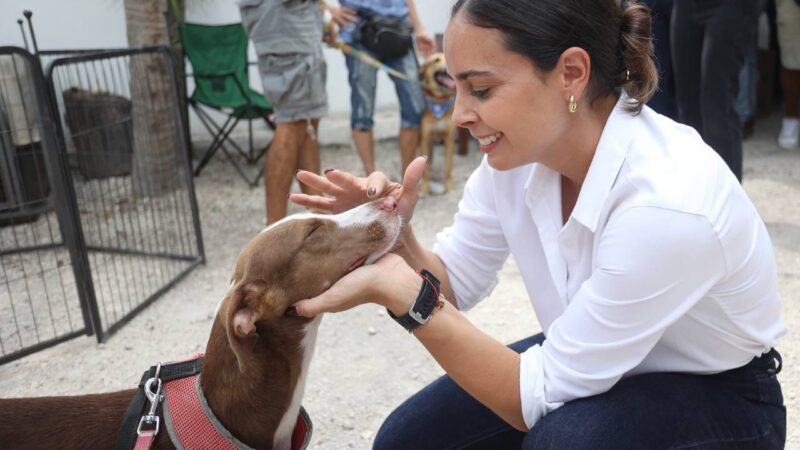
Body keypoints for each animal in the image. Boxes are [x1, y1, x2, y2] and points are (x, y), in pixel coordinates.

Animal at [418, 51, 456, 194]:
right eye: (436, 60)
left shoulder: (449, 140)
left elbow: (448, 167)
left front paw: (449, 187)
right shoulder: (424, 140)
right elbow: (424, 170)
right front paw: (424, 188)